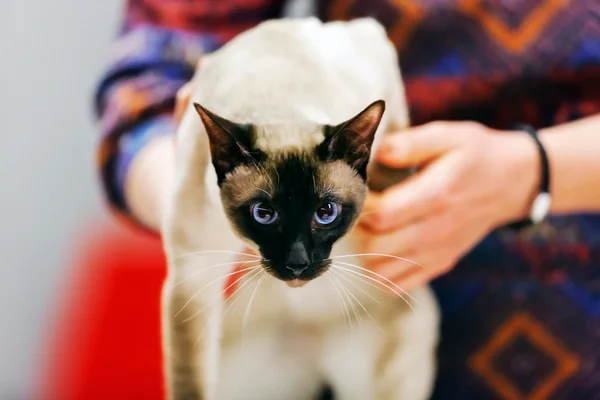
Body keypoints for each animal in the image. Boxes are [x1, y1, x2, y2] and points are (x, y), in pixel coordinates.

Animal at [162, 16, 438, 400]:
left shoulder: (379, 60)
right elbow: (191, 386)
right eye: (264, 214)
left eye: (326, 213)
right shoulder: (193, 279)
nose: (297, 264)